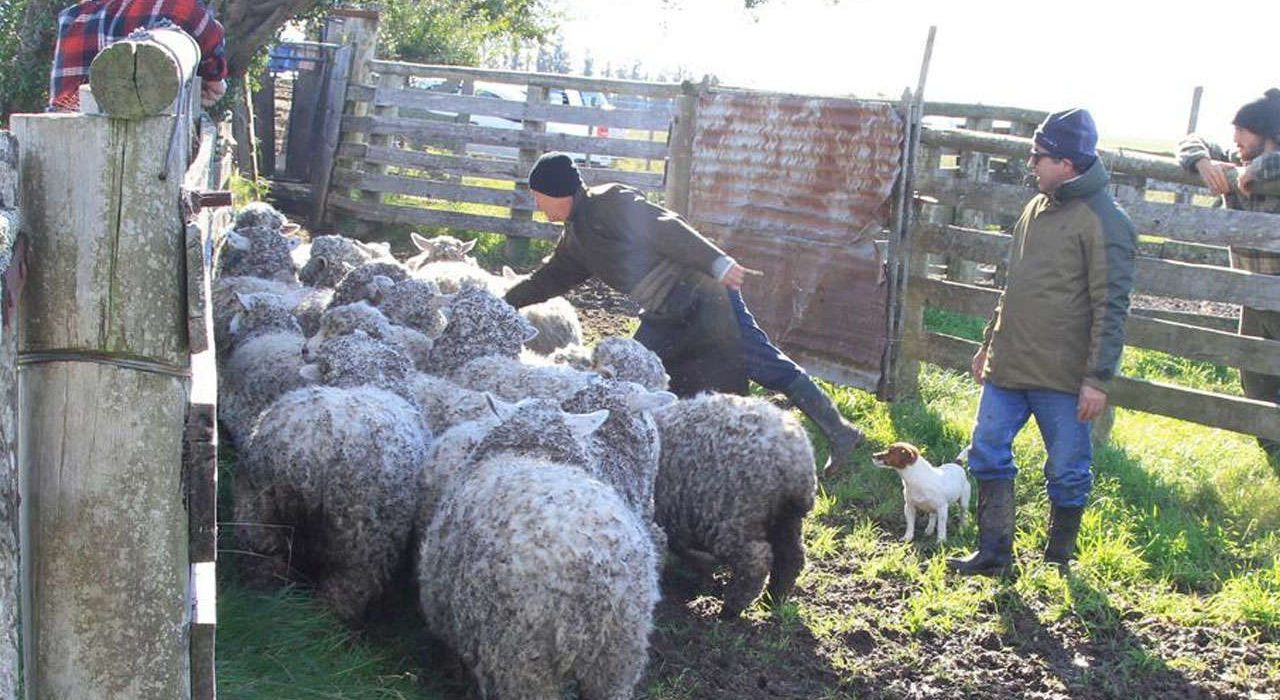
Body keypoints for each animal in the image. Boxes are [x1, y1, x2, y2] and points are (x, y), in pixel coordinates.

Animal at [232, 332, 427, 624]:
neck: (370, 380)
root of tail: (308, 447)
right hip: (358, 537)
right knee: (344, 591)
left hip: (258, 509)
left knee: (264, 563)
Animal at [655, 394, 814, 619]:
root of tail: (792, 456)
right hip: (786, 515)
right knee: (791, 557)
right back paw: (773, 599)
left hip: (729, 514)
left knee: (755, 561)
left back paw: (730, 608)